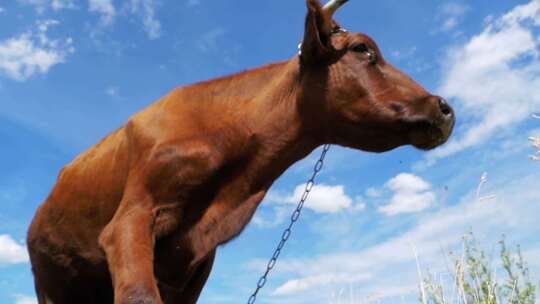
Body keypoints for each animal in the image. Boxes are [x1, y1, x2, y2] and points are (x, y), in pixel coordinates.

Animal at [27, 1, 454, 302]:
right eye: (363, 49)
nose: (444, 107)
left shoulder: (194, 263)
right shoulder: (129, 222)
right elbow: (138, 295)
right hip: (50, 283)